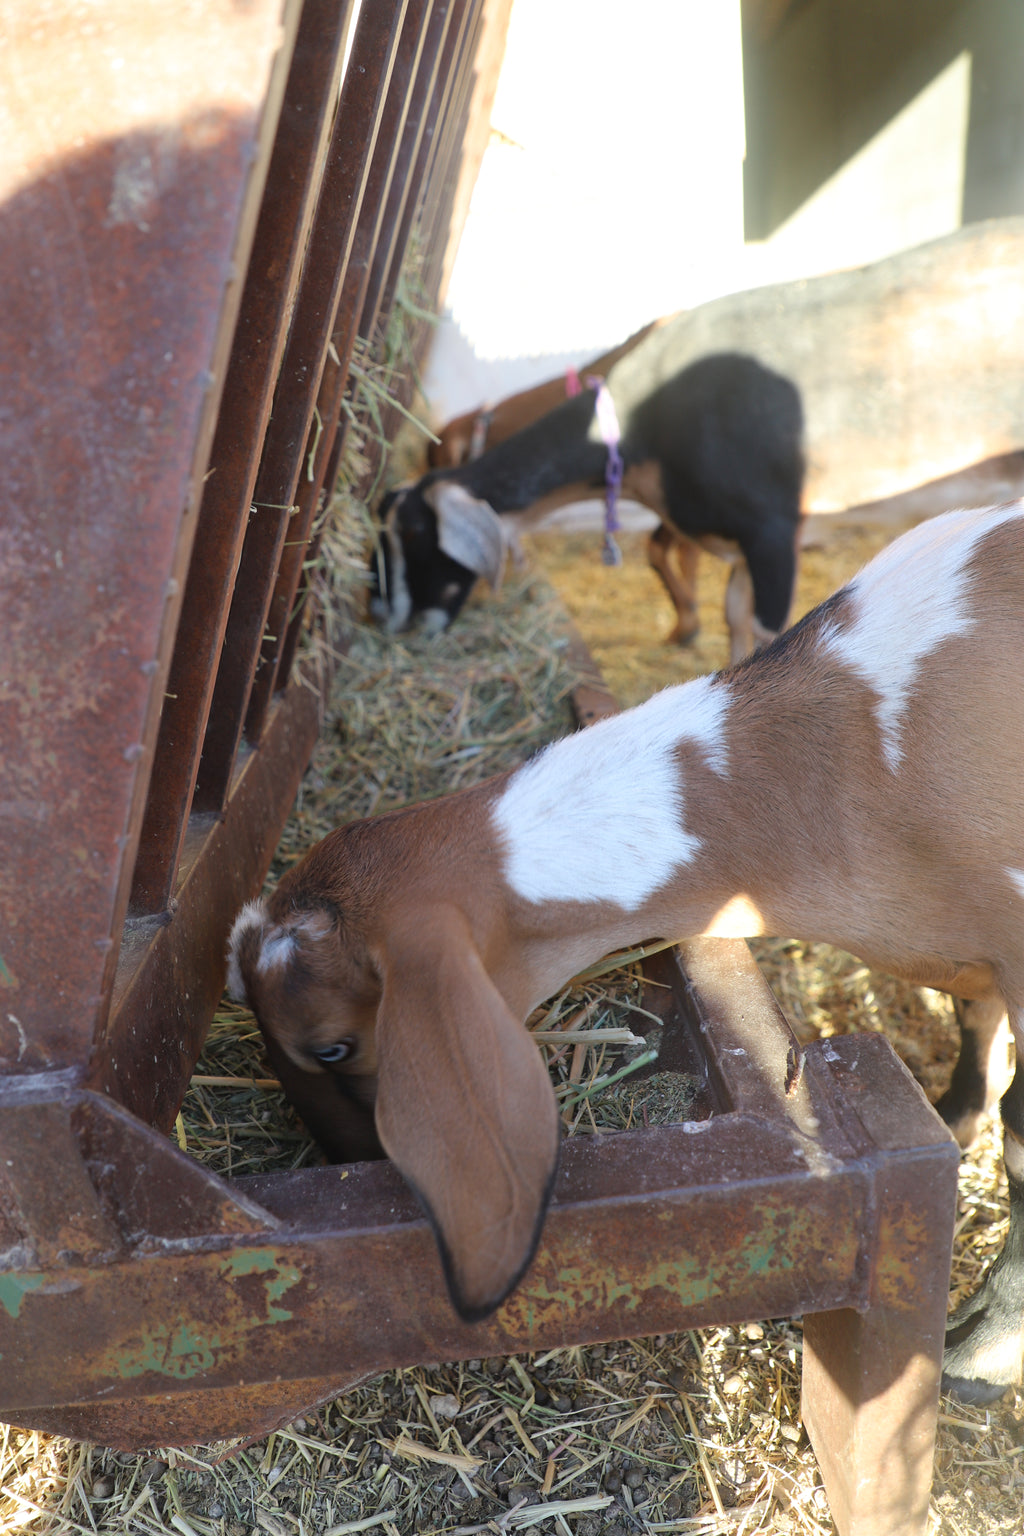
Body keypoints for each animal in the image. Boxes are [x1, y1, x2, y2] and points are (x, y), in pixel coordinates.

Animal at [231, 503, 1024, 1403]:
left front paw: (977, 1351)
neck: (853, 746)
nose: (344, 1159)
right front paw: (955, 1118)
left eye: (331, 1045)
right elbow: (974, 1028)